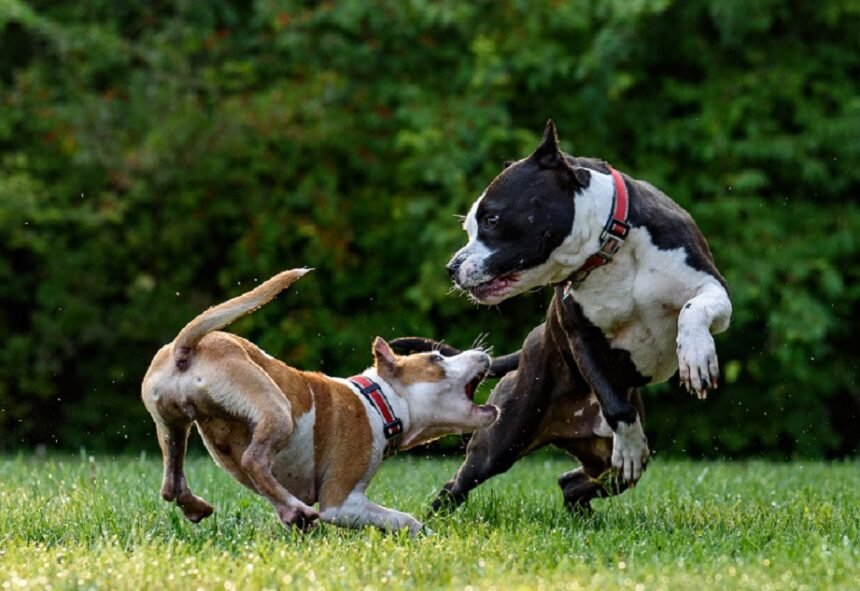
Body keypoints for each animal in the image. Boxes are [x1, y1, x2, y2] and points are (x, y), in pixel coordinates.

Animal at [141, 270, 498, 536]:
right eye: (437, 358)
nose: (483, 353)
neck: (380, 401)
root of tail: (186, 348)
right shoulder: (341, 503)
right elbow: (403, 519)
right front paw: (428, 537)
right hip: (275, 408)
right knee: (253, 459)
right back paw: (295, 510)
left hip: (172, 424)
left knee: (171, 483)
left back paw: (202, 507)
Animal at [394, 121, 728, 512]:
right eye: (470, 229)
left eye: (492, 219)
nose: (452, 267)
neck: (610, 248)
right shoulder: (580, 335)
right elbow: (615, 404)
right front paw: (630, 444)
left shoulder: (712, 287)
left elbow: (694, 309)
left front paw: (696, 356)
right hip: (502, 439)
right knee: (459, 482)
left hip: (601, 462)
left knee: (574, 482)